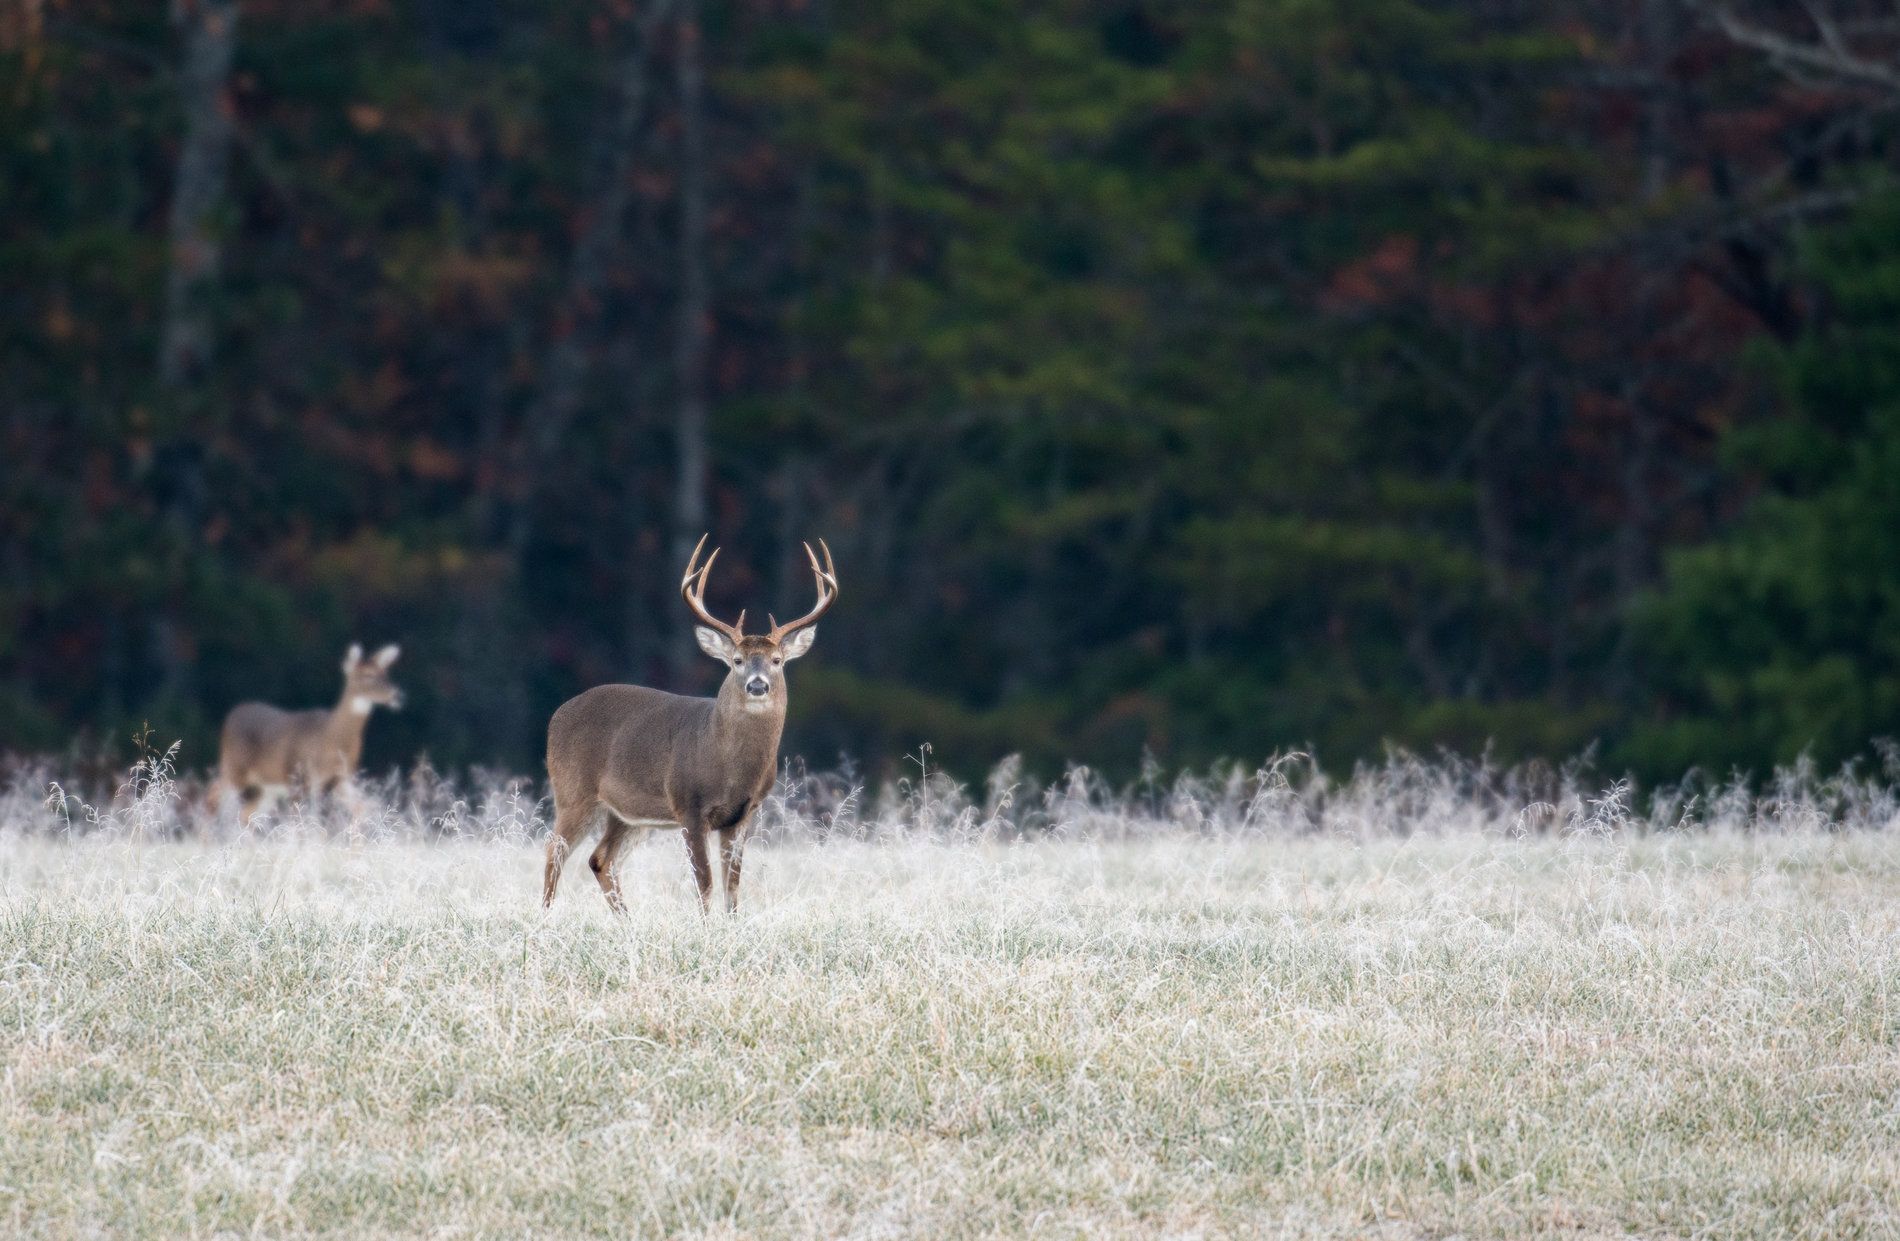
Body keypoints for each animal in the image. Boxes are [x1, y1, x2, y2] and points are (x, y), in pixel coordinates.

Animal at [210, 642, 404, 828]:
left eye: (386, 673)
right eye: (367, 674)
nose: (397, 696)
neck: (331, 739)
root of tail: (231, 715)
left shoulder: (341, 778)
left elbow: (363, 808)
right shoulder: (298, 776)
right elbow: (302, 820)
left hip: (265, 787)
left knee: (244, 814)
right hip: (235, 767)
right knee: (215, 796)